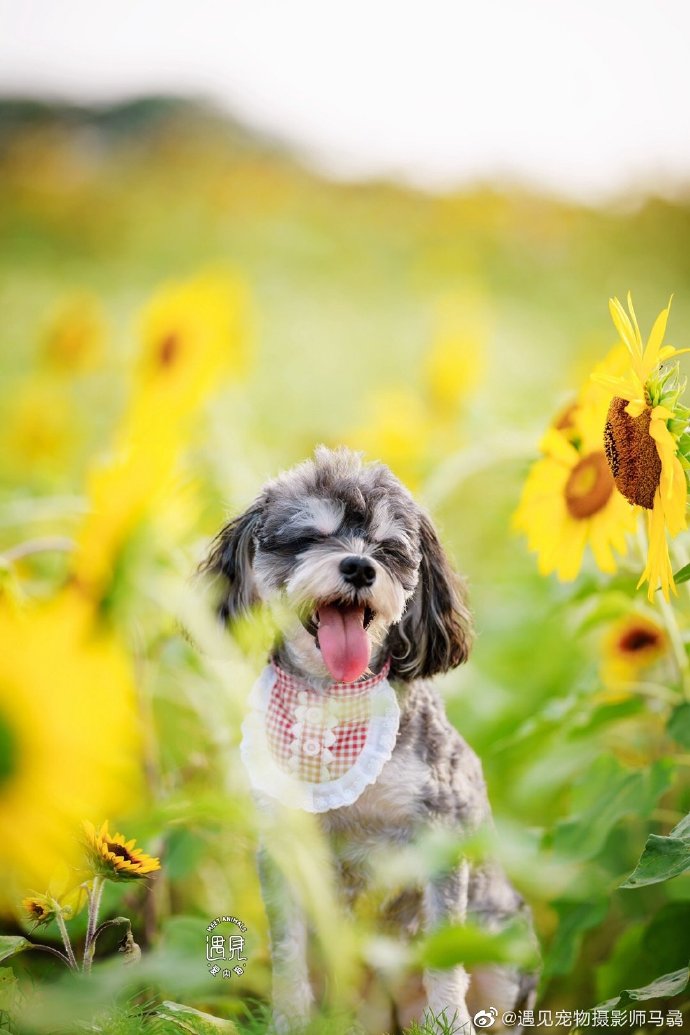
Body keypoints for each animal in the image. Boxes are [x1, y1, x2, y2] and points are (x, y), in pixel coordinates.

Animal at [202, 447, 537, 1035]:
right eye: (309, 537)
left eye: (388, 549)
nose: (359, 567)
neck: (334, 703)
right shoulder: (286, 851)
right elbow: (288, 956)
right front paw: (290, 1021)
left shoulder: (440, 831)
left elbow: (445, 955)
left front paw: (449, 1022)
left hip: (502, 944)